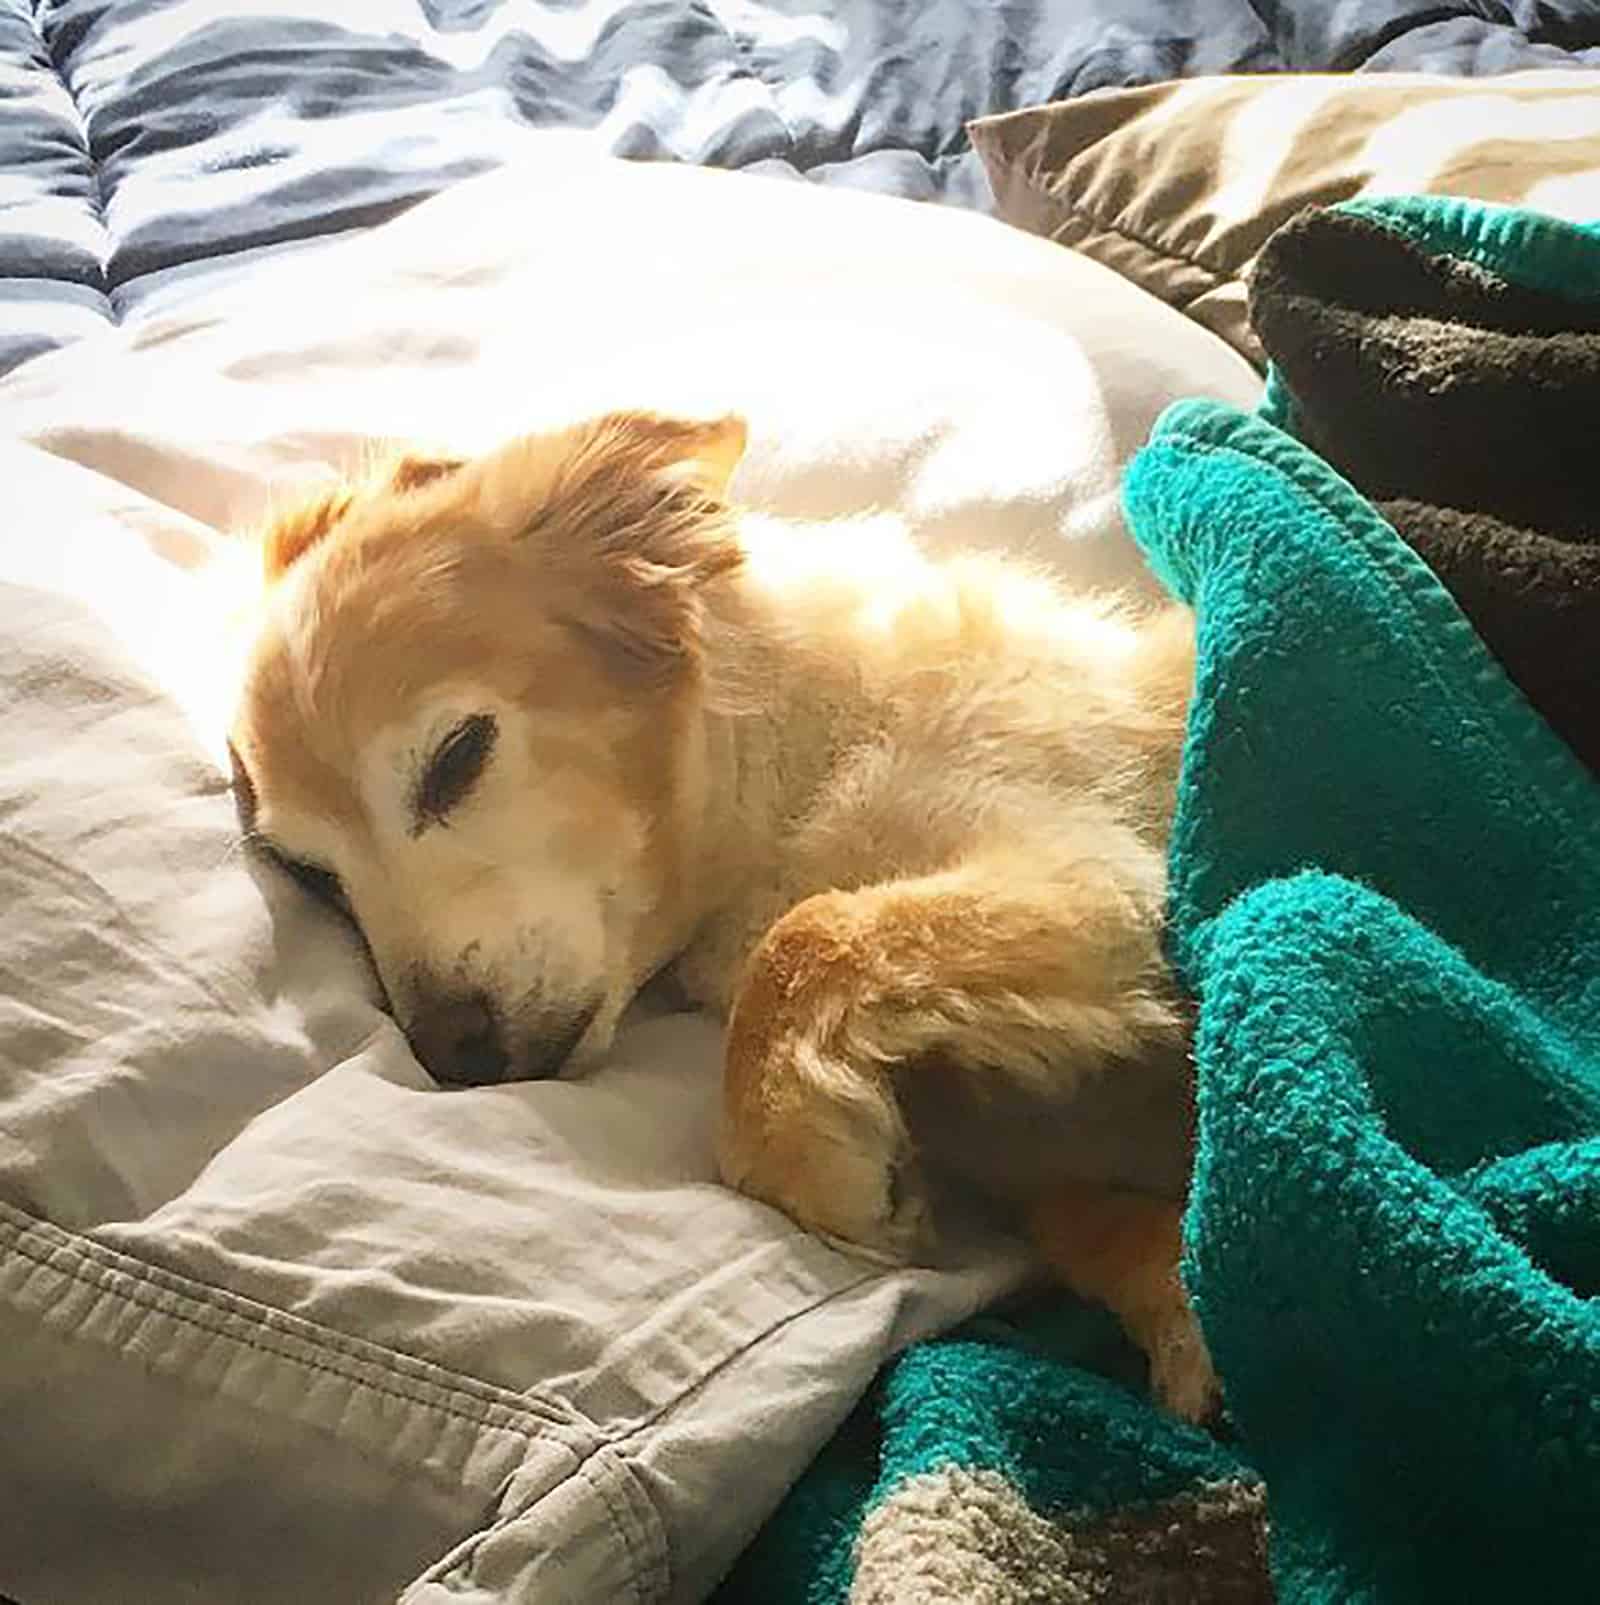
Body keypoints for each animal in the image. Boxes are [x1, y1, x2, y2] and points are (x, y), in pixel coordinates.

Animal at [227, 410, 1213, 1418]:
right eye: (312, 875)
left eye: (460, 755)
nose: (452, 1052)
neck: (807, 760)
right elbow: (1100, 1219)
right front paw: (1185, 1328)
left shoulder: (1093, 875)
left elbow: (810, 938)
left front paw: (809, 1164)